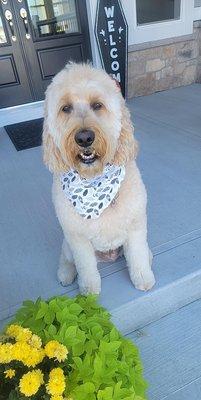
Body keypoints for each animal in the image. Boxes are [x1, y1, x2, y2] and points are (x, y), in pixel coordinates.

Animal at [42, 62, 155, 294]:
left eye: (97, 105)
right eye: (65, 108)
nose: (84, 138)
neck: (94, 180)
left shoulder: (136, 226)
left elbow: (138, 256)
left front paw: (143, 277)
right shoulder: (77, 239)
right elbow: (85, 267)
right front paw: (88, 291)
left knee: (142, 253)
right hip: (67, 244)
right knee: (66, 258)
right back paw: (65, 274)